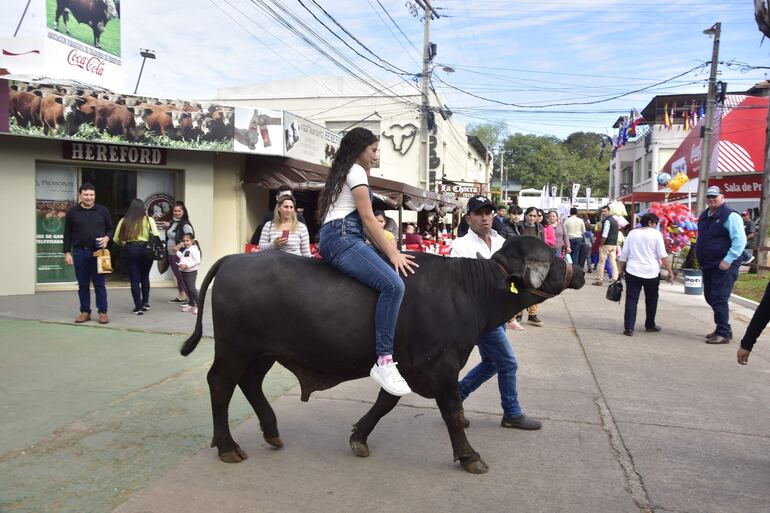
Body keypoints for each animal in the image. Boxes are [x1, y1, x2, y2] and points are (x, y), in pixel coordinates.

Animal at [182, 235, 584, 472]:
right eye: (554, 256)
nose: (578, 269)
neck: (470, 289)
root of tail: (233, 259)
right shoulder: (441, 366)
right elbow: (453, 412)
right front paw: (470, 455)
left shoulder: (404, 365)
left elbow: (386, 401)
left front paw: (359, 437)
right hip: (235, 347)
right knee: (220, 383)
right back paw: (228, 446)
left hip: (262, 351)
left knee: (249, 383)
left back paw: (271, 432)